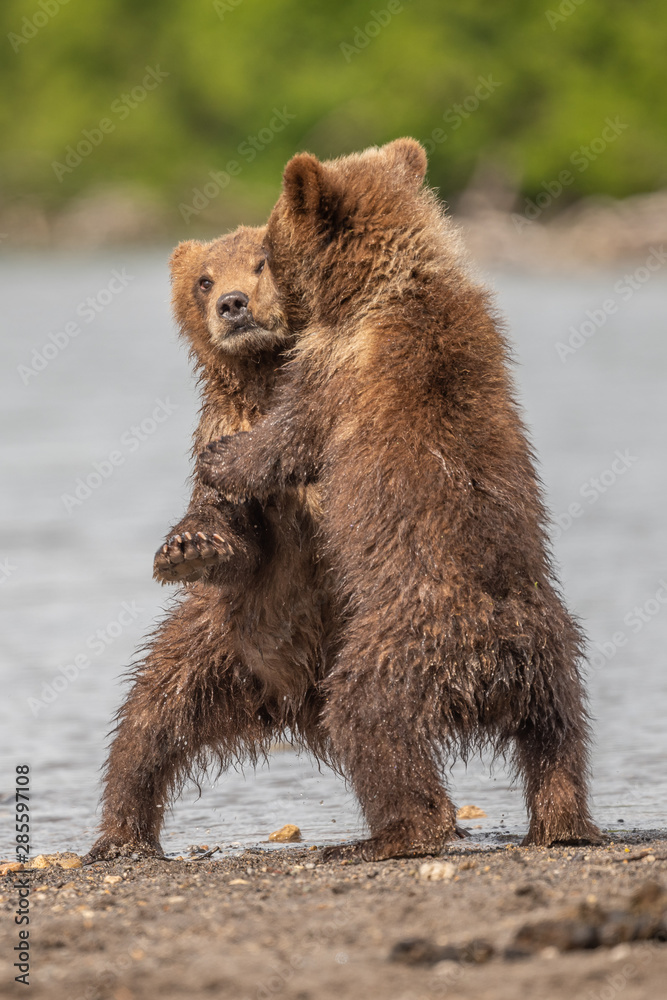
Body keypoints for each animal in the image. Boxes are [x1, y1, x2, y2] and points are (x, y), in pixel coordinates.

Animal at [84, 226, 334, 863]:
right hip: (214, 642)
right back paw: (122, 836)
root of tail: (291, 699)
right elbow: (234, 534)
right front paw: (190, 546)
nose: (232, 304)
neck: (263, 377)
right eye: (204, 279)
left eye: (263, 261)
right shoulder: (221, 436)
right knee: (147, 720)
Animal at [197, 140, 604, 861]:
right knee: (559, 741)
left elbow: (289, 439)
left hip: (394, 650)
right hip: (553, 657)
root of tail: (488, 665)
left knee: (369, 723)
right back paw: (564, 822)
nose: (246, 300)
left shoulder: (335, 369)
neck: (380, 286)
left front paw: (224, 457)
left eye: (267, 249)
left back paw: (387, 834)